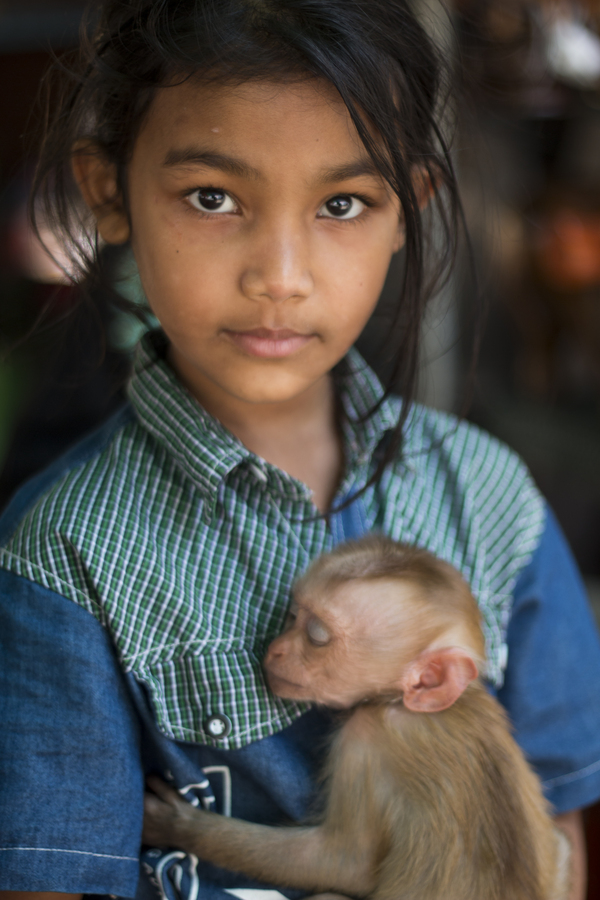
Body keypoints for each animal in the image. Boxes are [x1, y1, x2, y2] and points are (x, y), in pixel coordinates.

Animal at [142, 536, 572, 900]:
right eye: (292, 616)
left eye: (316, 635)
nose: (276, 649)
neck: (405, 703)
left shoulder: (366, 738)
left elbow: (344, 864)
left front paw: (178, 824)